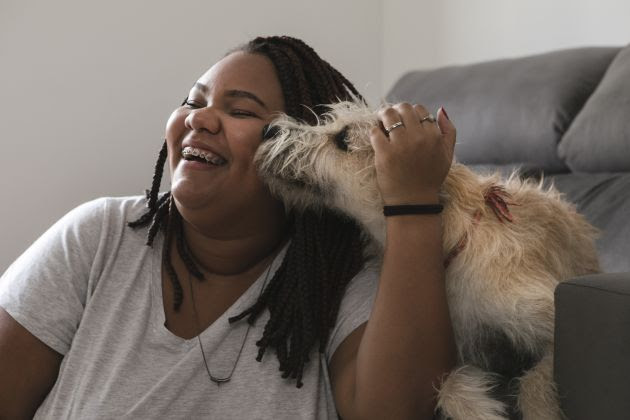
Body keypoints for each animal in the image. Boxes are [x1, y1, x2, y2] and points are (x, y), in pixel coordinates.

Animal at [255, 101, 600, 420]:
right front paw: (478, 408)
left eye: (342, 138)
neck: (448, 244)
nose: (269, 129)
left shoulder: (555, 320)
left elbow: (534, 383)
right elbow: (445, 384)